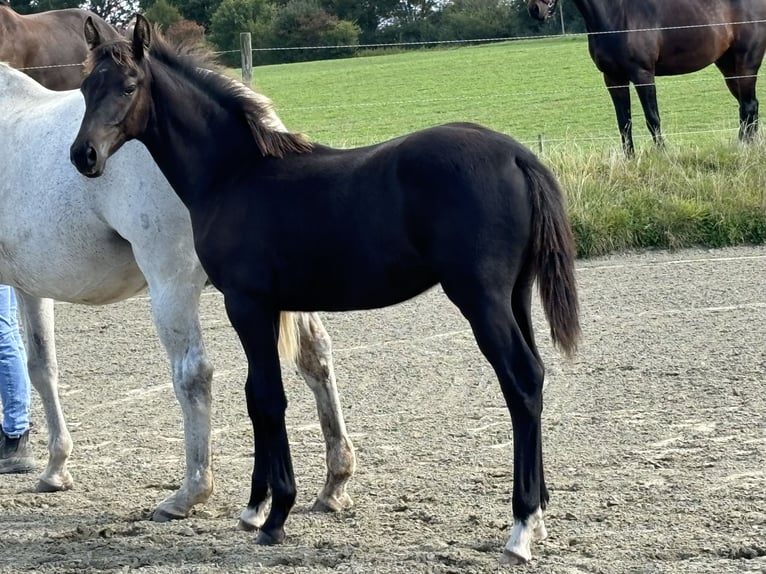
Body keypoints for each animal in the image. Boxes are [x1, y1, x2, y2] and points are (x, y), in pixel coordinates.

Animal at [72, 13, 584, 568]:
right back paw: (540, 515)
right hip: (515, 295)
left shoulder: (246, 304)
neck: (234, 174)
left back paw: (521, 527)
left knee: (522, 381)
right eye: (85, 86)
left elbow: (268, 399)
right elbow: (255, 395)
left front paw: (275, 516)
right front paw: (255, 506)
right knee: (535, 378)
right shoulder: (268, 307)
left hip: (481, 299)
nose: (84, 155)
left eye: (129, 85)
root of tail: (516, 155)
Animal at [532, 0, 766, 155]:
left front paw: (662, 154)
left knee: (748, 106)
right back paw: (746, 146)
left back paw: (744, 147)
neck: (617, 14)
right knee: (749, 106)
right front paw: (629, 159)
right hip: (728, 67)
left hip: (746, 63)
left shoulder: (642, 74)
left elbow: (652, 118)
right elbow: (624, 122)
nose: (535, 10)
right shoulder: (613, 78)